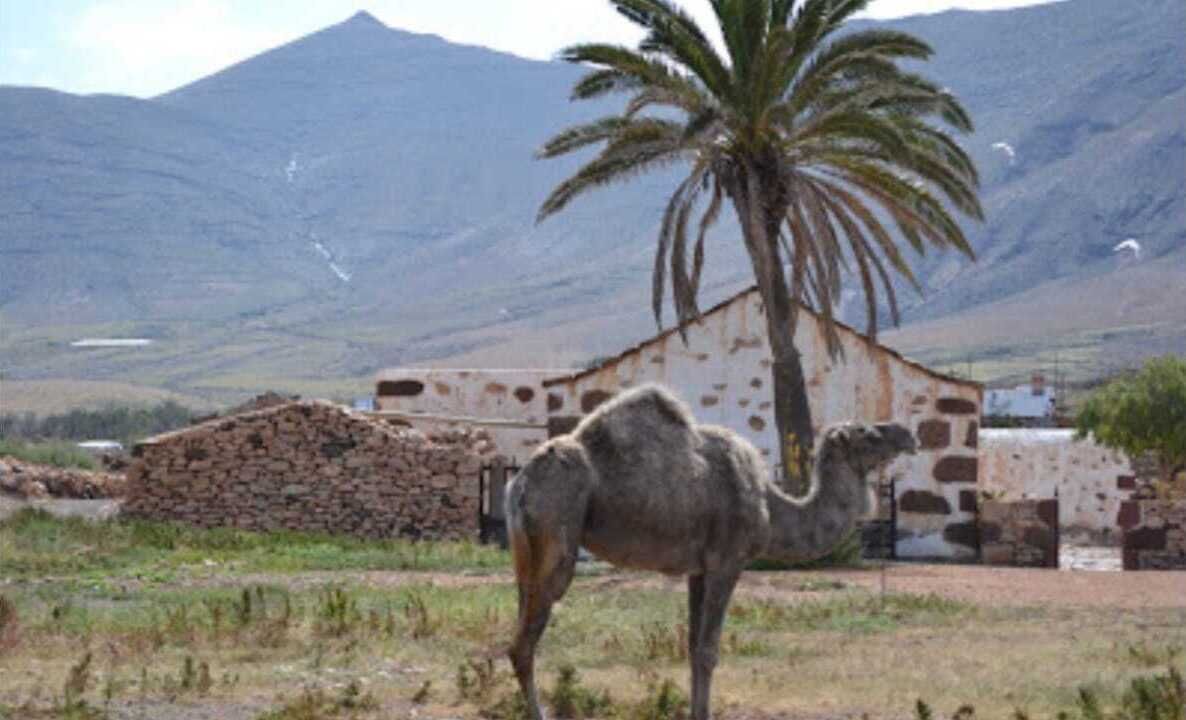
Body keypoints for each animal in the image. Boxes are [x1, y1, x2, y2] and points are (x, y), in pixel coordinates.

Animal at [505, 384, 916, 720]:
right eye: (868, 433)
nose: (908, 435)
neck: (771, 505)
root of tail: (520, 483)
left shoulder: (698, 569)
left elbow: (691, 647)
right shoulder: (726, 562)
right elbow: (708, 651)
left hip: (525, 553)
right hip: (559, 528)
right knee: (524, 643)